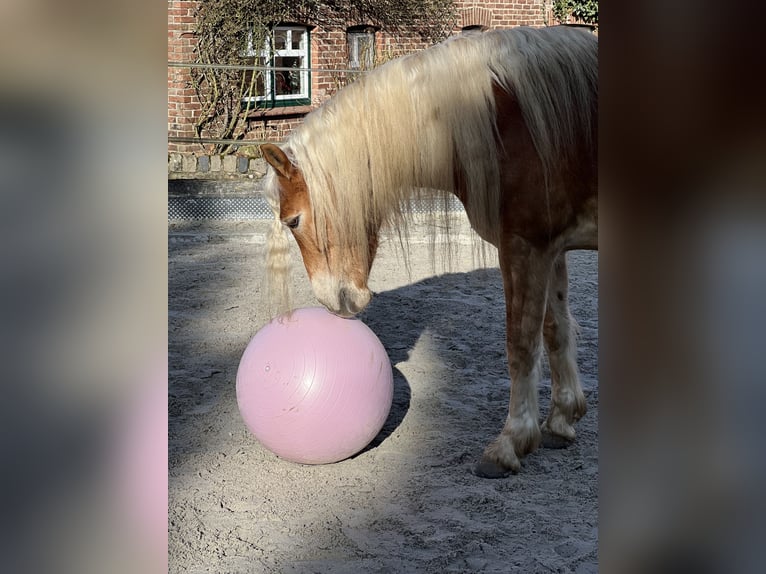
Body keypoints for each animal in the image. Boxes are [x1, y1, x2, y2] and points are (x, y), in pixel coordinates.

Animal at [260, 25, 597, 477]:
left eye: (293, 220)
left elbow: (521, 343)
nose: (334, 302)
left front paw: (511, 443)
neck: (504, 120)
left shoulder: (525, 246)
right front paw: (561, 421)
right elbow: (556, 329)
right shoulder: (552, 248)